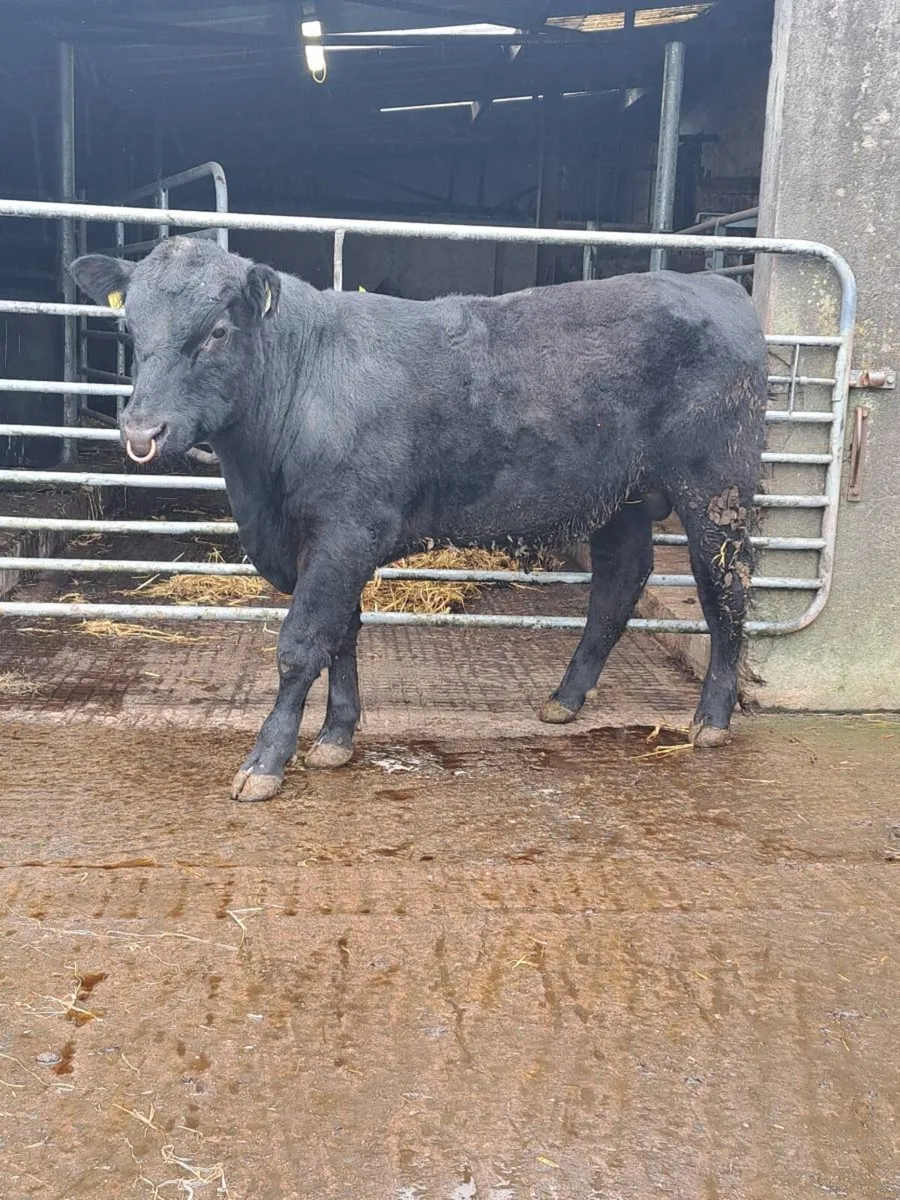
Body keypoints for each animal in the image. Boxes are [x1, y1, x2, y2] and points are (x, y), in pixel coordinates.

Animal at [71, 237, 767, 802]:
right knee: (620, 584)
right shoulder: (330, 543)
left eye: (217, 330)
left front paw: (265, 762)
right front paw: (336, 738)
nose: (142, 431)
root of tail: (717, 286)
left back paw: (711, 720)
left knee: (725, 589)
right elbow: (341, 634)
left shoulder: (345, 531)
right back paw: (564, 701)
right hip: (622, 498)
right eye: (129, 326)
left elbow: (301, 644)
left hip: (716, 488)